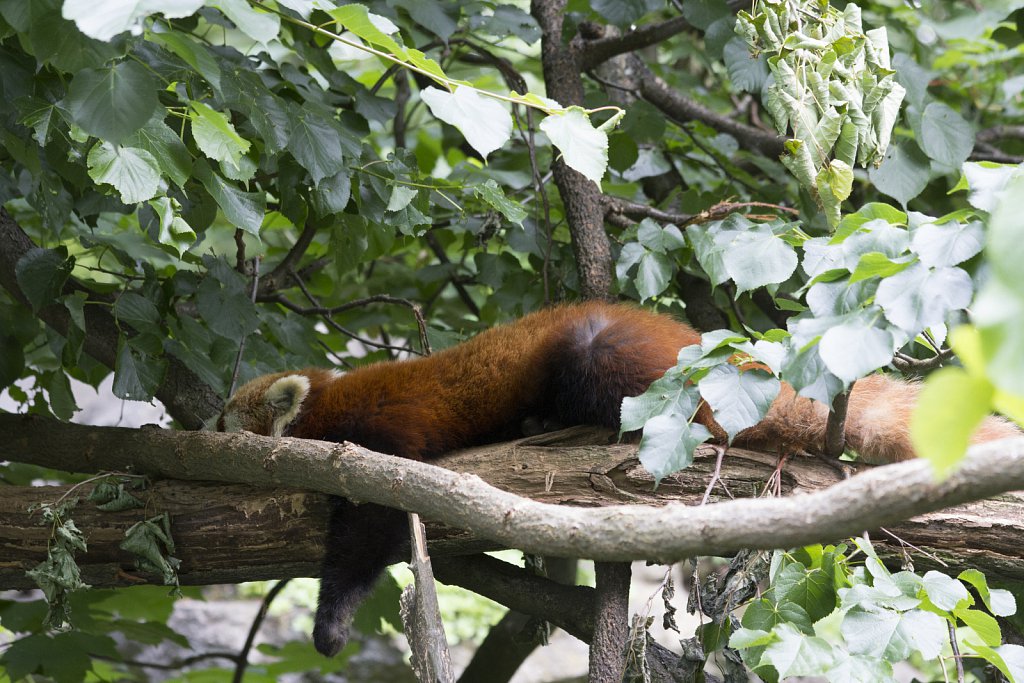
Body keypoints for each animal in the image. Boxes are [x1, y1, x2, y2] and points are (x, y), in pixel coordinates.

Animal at [216, 301, 1015, 655]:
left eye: (225, 420)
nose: (202, 428)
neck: (328, 400)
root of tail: (693, 343)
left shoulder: (378, 441)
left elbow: (366, 529)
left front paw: (330, 624)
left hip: (603, 356)